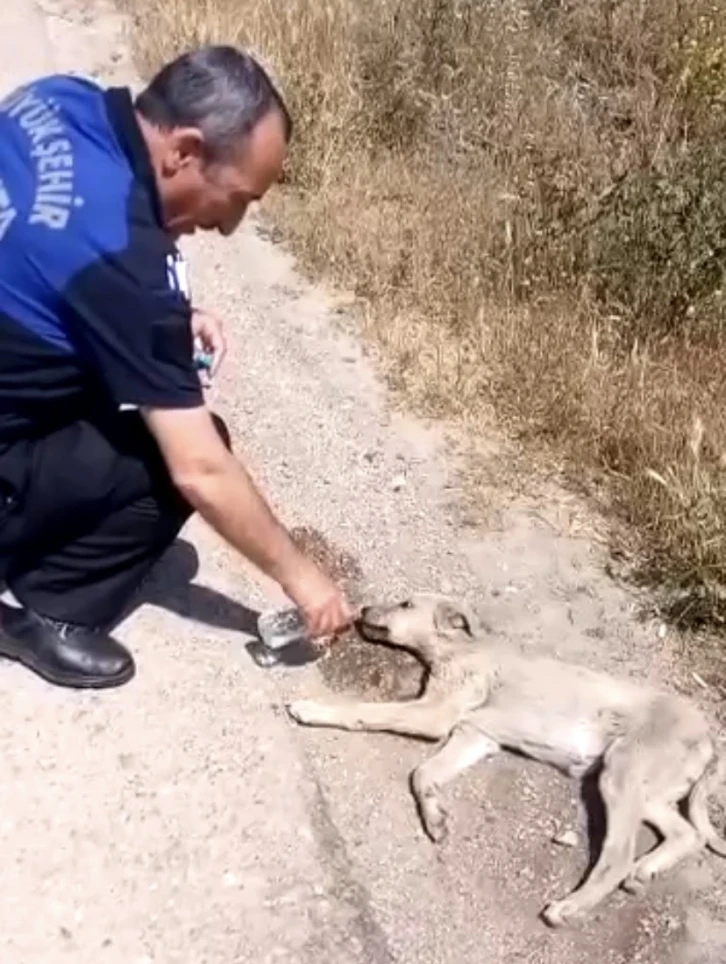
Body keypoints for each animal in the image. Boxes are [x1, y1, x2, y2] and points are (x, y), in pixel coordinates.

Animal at [288, 596, 724, 928]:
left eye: (406, 603)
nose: (362, 608)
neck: (461, 648)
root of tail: (708, 737)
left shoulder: (435, 715)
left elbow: (363, 712)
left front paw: (312, 708)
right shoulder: (474, 736)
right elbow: (422, 773)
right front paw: (434, 816)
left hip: (620, 775)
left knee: (618, 857)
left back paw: (570, 908)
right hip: (640, 791)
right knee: (689, 832)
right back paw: (646, 870)